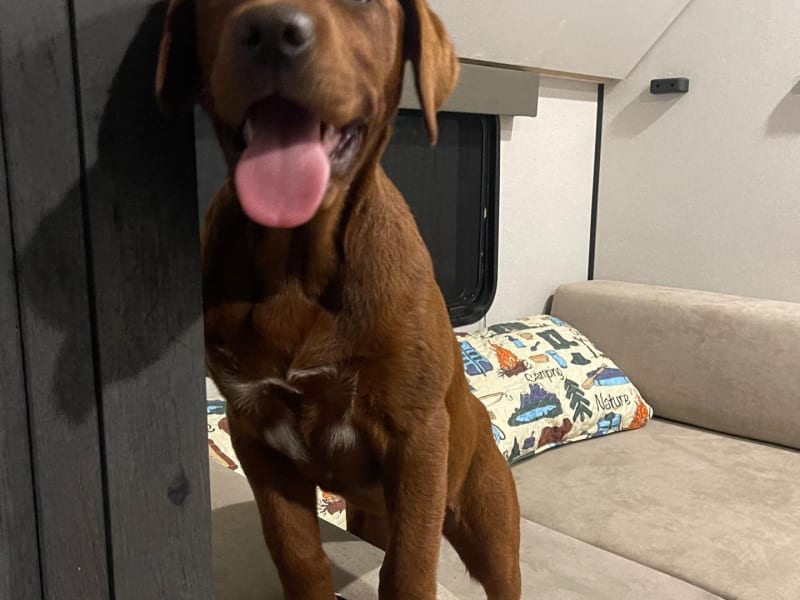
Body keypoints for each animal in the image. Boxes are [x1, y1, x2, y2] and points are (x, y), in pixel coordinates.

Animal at [157, 2, 520, 596]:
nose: (272, 33)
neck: (295, 268)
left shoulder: (417, 435)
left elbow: (408, 568)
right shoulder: (254, 428)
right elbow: (298, 553)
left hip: (486, 517)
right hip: (371, 512)